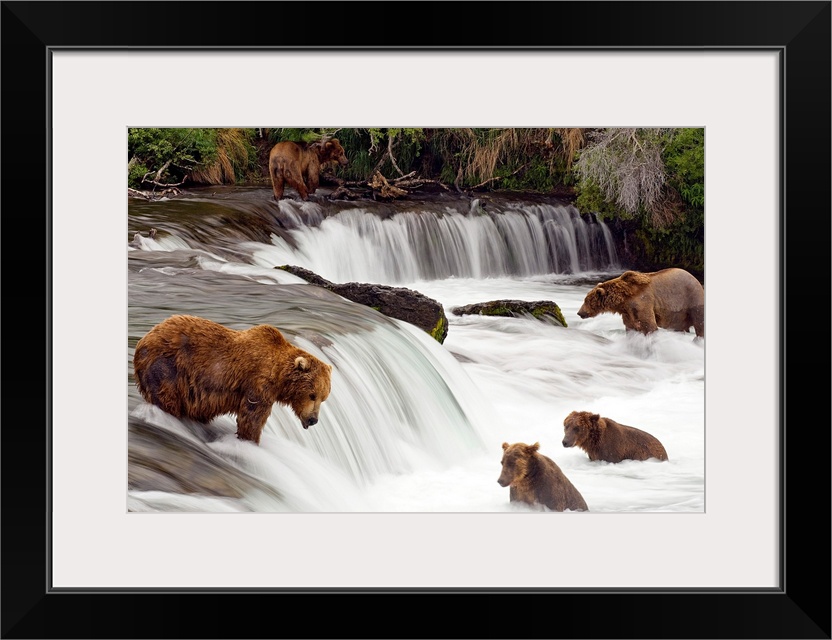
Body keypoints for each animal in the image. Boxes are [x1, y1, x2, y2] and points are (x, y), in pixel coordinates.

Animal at [133, 316, 332, 444]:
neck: (279, 376)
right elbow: (252, 417)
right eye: (312, 395)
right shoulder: (258, 384)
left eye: (323, 398)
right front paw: (250, 441)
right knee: (167, 397)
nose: (313, 419)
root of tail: (143, 339)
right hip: (167, 367)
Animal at [576, 266, 704, 338]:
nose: (579, 312)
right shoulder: (628, 312)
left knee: (699, 322)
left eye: (586, 300)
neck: (624, 300)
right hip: (679, 315)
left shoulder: (642, 302)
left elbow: (648, 325)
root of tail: (696, 280)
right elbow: (630, 327)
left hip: (692, 298)